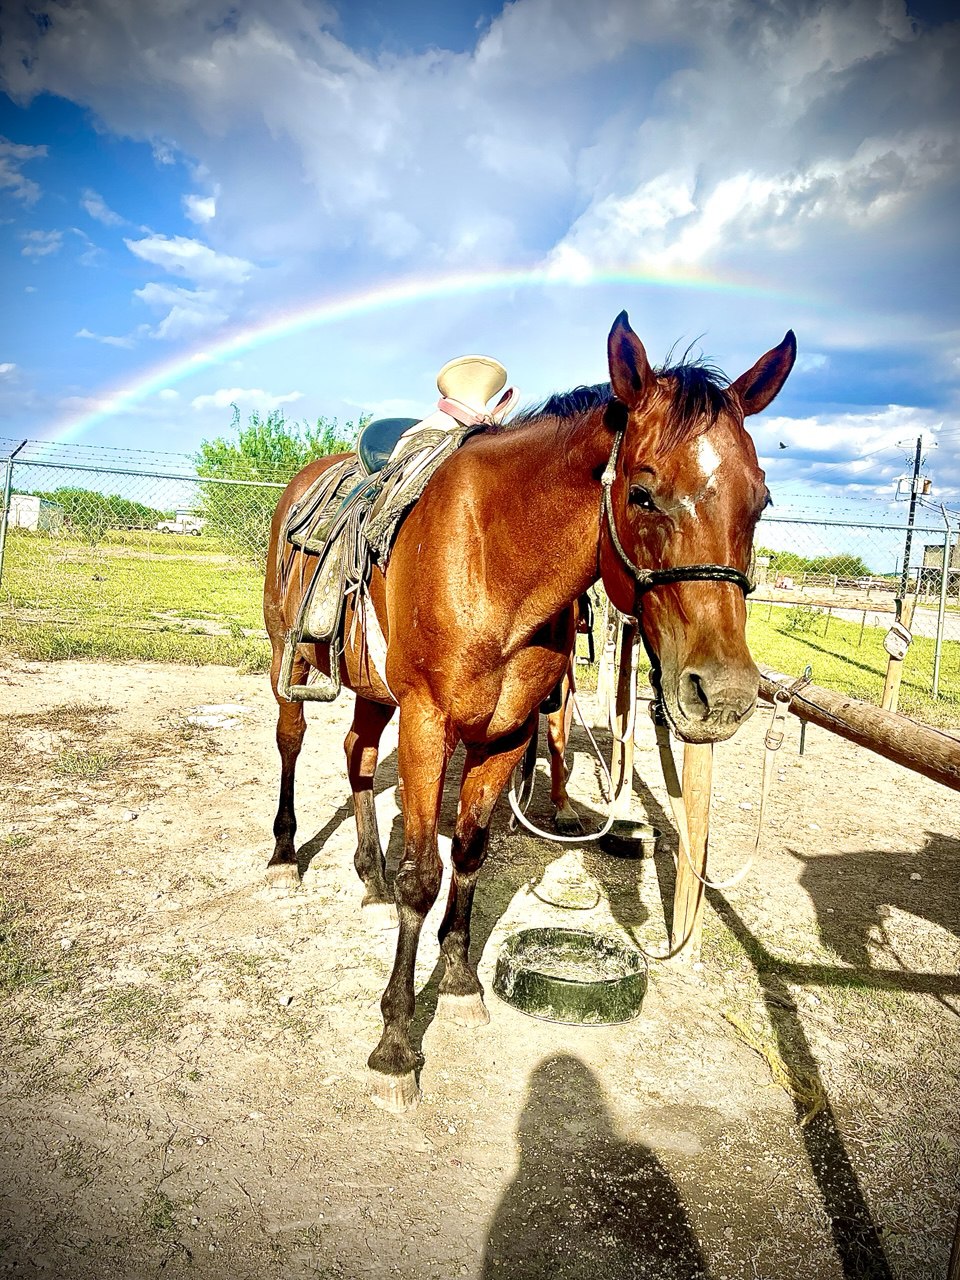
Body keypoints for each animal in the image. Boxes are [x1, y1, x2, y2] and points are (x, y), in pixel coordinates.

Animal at [263, 311, 796, 1111]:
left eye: (758, 501)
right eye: (643, 494)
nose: (724, 693)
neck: (494, 557)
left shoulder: (507, 734)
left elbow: (470, 853)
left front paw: (456, 982)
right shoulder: (429, 723)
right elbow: (425, 876)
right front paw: (395, 1045)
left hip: (375, 692)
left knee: (357, 755)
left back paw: (368, 874)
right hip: (290, 663)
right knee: (292, 742)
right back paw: (283, 855)